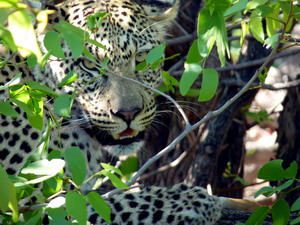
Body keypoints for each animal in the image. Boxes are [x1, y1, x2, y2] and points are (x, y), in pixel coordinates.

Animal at [0, 0, 258, 225]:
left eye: (142, 58)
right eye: (89, 64)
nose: (128, 113)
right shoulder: (21, 202)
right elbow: (111, 204)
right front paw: (188, 202)